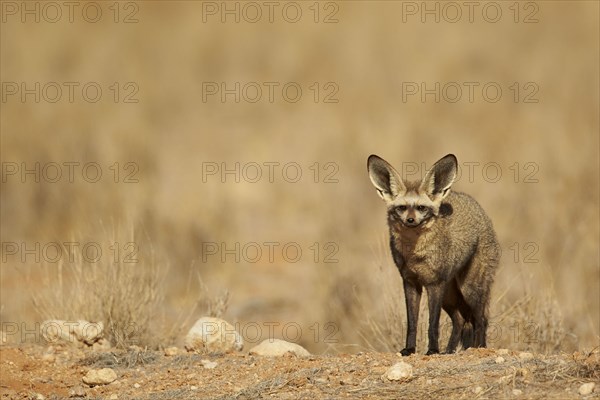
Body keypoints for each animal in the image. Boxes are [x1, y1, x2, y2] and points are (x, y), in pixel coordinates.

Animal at [366, 154, 502, 356]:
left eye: (421, 208)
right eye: (401, 208)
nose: (410, 220)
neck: (415, 255)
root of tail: (479, 209)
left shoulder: (435, 284)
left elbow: (433, 324)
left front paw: (432, 350)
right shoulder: (410, 282)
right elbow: (412, 323)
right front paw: (409, 349)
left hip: (469, 290)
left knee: (481, 319)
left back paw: (479, 348)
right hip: (450, 296)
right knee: (460, 320)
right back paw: (449, 351)